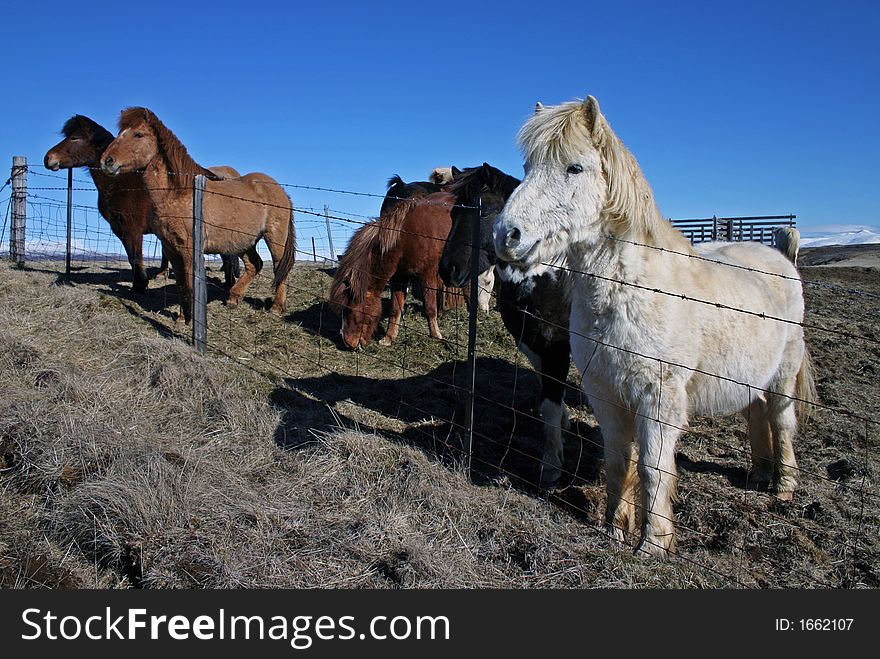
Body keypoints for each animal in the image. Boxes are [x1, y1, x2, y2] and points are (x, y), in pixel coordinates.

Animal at [44, 116, 241, 294]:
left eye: (74, 137)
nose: (48, 158)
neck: (121, 183)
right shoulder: (120, 229)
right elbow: (132, 256)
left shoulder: (133, 228)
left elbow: (136, 256)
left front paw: (139, 285)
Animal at [98, 107, 294, 324]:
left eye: (138, 134)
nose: (106, 161)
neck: (179, 192)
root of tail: (281, 191)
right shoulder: (171, 249)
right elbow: (181, 284)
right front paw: (183, 318)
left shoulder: (188, 250)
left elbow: (190, 282)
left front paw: (190, 318)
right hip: (242, 241)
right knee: (254, 265)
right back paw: (233, 299)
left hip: (274, 238)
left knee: (279, 267)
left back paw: (276, 307)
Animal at [326, 192, 458, 350]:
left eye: (349, 309)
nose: (348, 343)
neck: (407, 237)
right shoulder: (399, 279)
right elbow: (395, 309)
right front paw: (388, 338)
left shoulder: (427, 276)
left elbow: (430, 308)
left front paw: (436, 336)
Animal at [438, 162, 572, 488]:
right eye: (453, 213)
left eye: (484, 212)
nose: (448, 270)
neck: (547, 277)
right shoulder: (532, 343)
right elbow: (549, 396)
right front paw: (563, 426)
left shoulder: (557, 348)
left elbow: (551, 402)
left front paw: (551, 467)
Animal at [496, 95, 820, 560]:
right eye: (526, 167)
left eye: (574, 167)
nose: (507, 236)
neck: (632, 291)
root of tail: (781, 256)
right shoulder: (605, 393)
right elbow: (619, 461)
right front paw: (614, 529)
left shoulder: (658, 400)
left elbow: (652, 467)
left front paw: (653, 545)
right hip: (750, 377)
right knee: (757, 413)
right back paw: (759, 476)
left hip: (782, 376)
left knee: (781, 421)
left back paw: (784, 488)